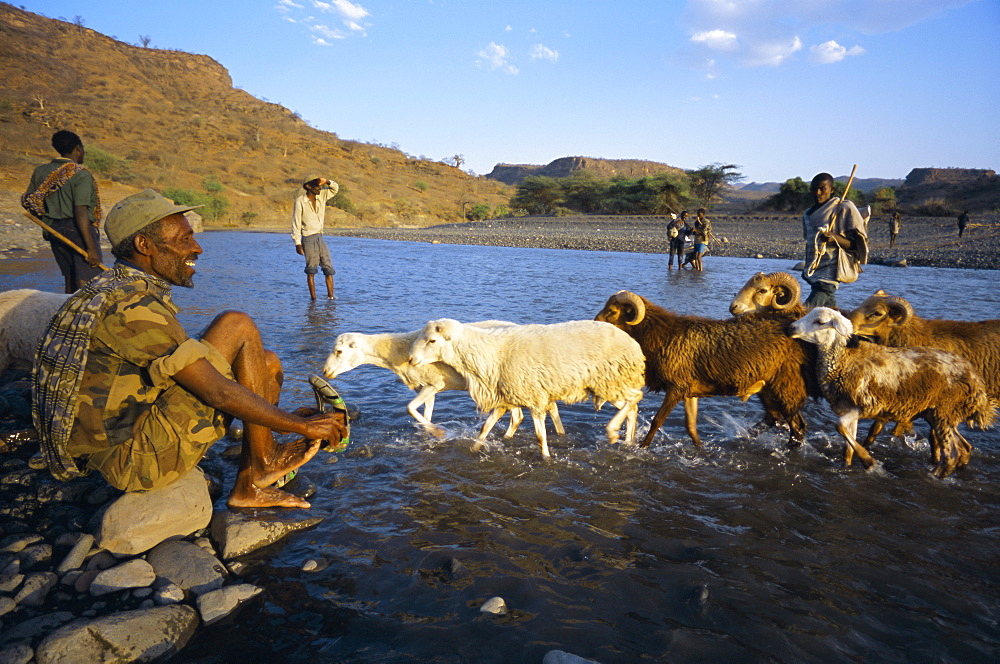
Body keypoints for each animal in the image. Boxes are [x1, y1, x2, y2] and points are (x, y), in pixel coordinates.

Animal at [322, 324, 564, 438]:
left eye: (339, 351)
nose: (325, 371)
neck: (396, 350)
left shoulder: (433, 384)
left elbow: (410, 408)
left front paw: (438, 432)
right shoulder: (428, 388)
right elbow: (424, 414)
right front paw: (428, 433)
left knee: (521, 415)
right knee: (538, 410)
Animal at [404, 320, 640, 460]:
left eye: (432, 340)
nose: (410, 359)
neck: (490, 353)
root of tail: (633, 343)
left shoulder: (534, 397)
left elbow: (540, 437)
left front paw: (546, 458)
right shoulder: (505, 396)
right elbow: (485, 429)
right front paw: (474, 449)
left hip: (610, 380)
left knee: (635, 399)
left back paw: (612, 432)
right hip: (606, 385)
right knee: (633, 408)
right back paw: (628, 441)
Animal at [592, 290, 812, 446]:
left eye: (612, 311)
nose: (593, 325)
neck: (661, 335)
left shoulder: (677, 388)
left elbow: (657, 421)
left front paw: (642, 448)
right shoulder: (690, 392)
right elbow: (691, 427)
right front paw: (702, 449)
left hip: (786, 385)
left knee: (798, 427)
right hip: (767, 387)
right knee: (774, 418)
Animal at [788, 306, 992, 478]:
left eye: (820, 322)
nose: (791, 328)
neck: (846, 359)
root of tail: (978, 383)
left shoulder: (865, 404)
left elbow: (839, 427)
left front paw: (869, 461)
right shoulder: (849, 407)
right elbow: (847, 441)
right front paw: (847, 466)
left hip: (945, 411)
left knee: (951, 455)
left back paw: (935, 476)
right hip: (944, 413)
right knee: (964, 447)